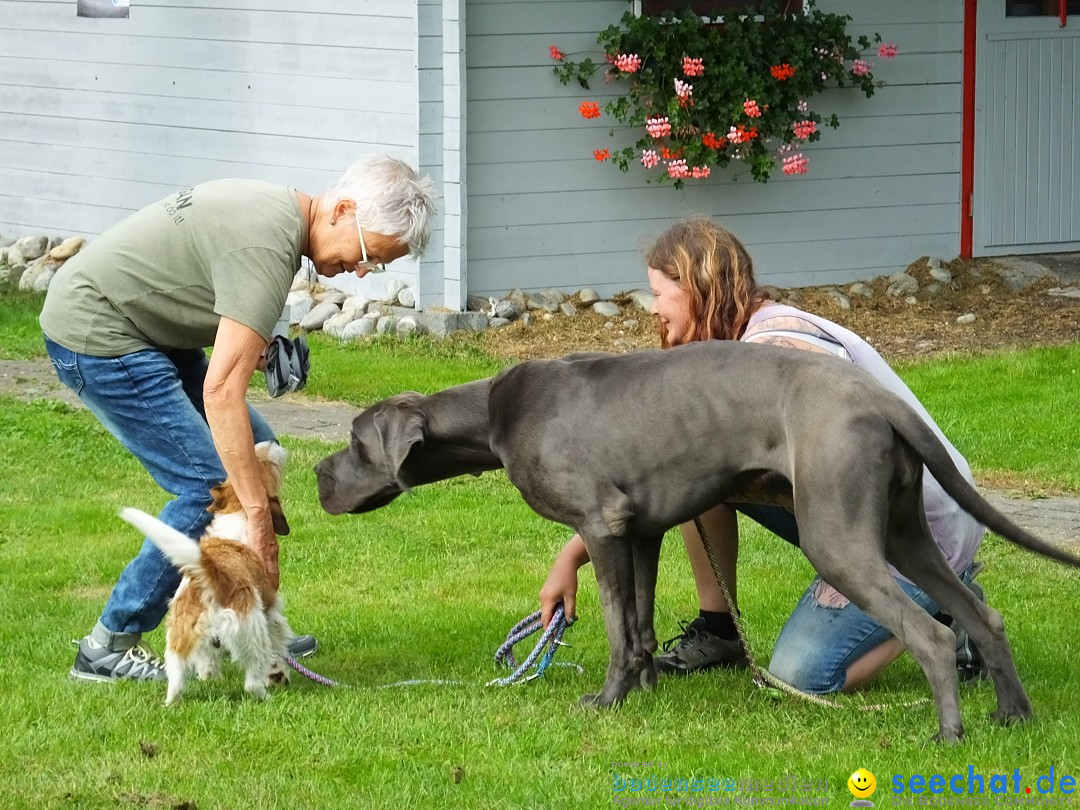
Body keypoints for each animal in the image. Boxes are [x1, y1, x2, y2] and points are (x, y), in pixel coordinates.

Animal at [118, 440, 293, 708]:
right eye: (268, 465)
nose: (273, 442)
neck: (237, 513)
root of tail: (212, 578)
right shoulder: (271, 610)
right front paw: (279, 674)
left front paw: (208, 674)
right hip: (251, 630)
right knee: (252, 680)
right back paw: (265, 695)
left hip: (179, 637)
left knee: (177, 681)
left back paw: (175, 700)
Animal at [315, 339, 1080, 747]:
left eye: (353, 442)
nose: (319, 477)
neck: (493, 415)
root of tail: (881, 399)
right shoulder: (640, 530)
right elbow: (641, 624)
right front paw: (646, 690)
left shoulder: (601, 523)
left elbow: (616, 627)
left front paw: (606, 701)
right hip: (901, 532)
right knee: (984, 616)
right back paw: (1012, 717)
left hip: (837, 537)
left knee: (930, 631)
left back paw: (948, 736)